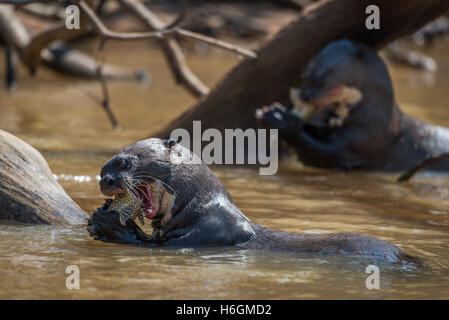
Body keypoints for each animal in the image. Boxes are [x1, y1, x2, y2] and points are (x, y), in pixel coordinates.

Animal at [87, 138, 412, 262]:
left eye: (125, 162)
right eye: (105, 166)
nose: (105, 178)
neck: (200, 206)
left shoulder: (208, 232)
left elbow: (149, 244)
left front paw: (106, 224)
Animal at [256, 38, 448, 171]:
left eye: (322, 79)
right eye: (304, 77)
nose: (305, 95)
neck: (375, 118)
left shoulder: (363, 142)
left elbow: (324, 154)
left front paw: (280, 119)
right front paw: (275, 110)